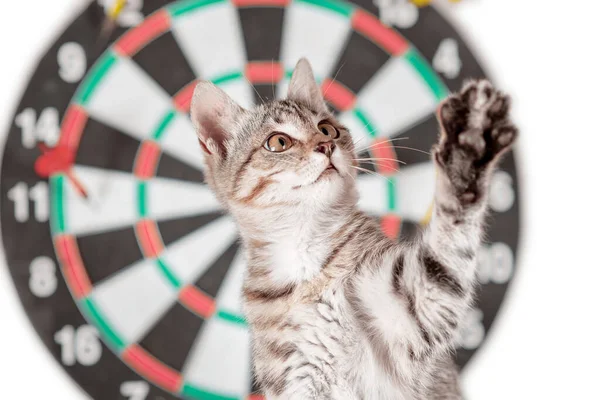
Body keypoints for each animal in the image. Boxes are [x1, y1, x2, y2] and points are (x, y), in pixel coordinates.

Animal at [191, 57, 516, 398]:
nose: (325, 145)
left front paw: (467, 153)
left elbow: (446, 248)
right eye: (278, 142)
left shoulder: (417, 308)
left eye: (327, 129)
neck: (308, 256)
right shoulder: (296, 379)